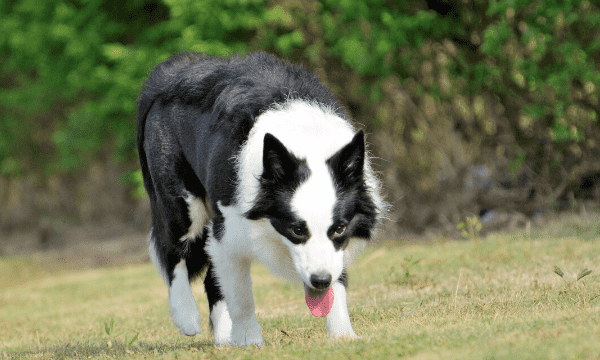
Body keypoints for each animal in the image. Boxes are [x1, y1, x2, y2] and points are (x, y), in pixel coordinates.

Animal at [136, 51, 386, 346]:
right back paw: (186, 316)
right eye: (297, 230)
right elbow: (241, 295)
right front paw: (249, 341)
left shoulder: (334, 251)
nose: (320, 280)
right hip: (183, 204)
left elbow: (337, 282)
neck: (306, 140)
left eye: (339, 229)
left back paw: (224, 339)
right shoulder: (228, 231)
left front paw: (343, 334)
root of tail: (167, 73)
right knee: (172, 251)